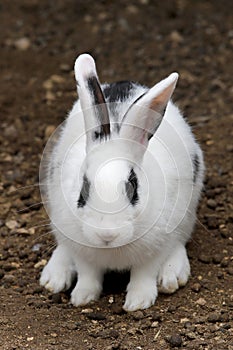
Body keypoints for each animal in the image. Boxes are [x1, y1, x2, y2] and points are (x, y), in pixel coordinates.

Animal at [40, 53, 204, 310]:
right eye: (83, 190)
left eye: (133, 187)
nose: (107, 235)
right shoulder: (82, 251)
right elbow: (88, 274)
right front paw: (82, 297)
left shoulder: (156, 248)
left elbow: (143, 274)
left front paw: (138, 302)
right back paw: (54, 277)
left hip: (186, 215)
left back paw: (172, 276)